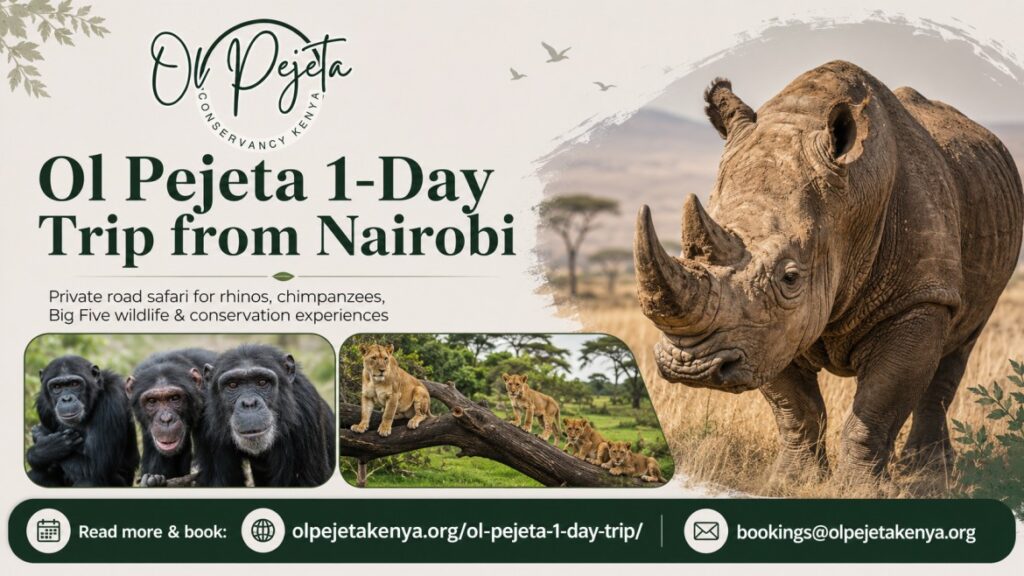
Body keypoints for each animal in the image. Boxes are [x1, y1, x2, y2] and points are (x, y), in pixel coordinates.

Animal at [634, 60, 1023, 485]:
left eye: (790, 277)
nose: (691, 367)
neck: (848, 204)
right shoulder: (765, 332)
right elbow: (795, 409)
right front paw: (792, 481)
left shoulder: (920, 299)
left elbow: (877, 406)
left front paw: (862, 488)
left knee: (958, 346)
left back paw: (927, 477)